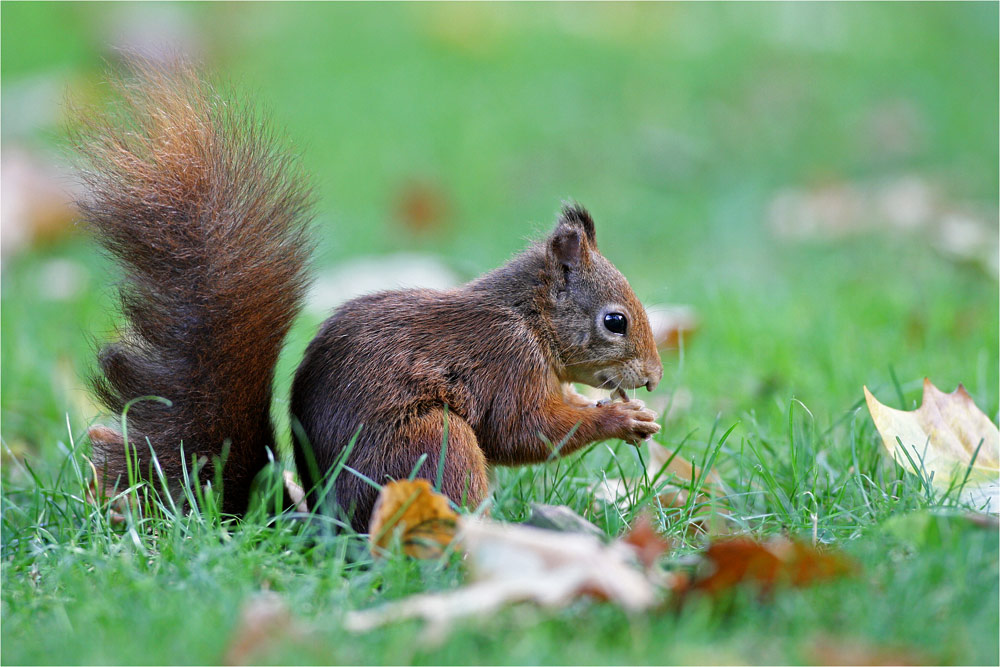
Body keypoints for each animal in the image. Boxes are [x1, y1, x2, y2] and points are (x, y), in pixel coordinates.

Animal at [76, 57, 656, 532]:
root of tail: (322, 522)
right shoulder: (506, 362)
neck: (529, 318)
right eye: (615, 321)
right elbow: (524, 430)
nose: (653, 378)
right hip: (431, 444)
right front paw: (619, 419)